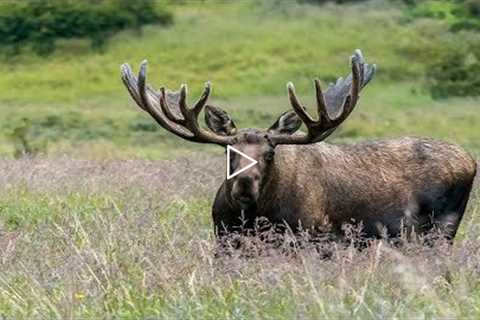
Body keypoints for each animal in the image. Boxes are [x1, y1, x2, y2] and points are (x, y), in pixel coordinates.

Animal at [121, 49, 476, 240]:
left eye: (269, 153)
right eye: (229, 151)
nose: (244, 184)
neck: (253, 218)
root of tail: (471, 161)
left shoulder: (312, 237)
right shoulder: (224, 239)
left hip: (441, 228)